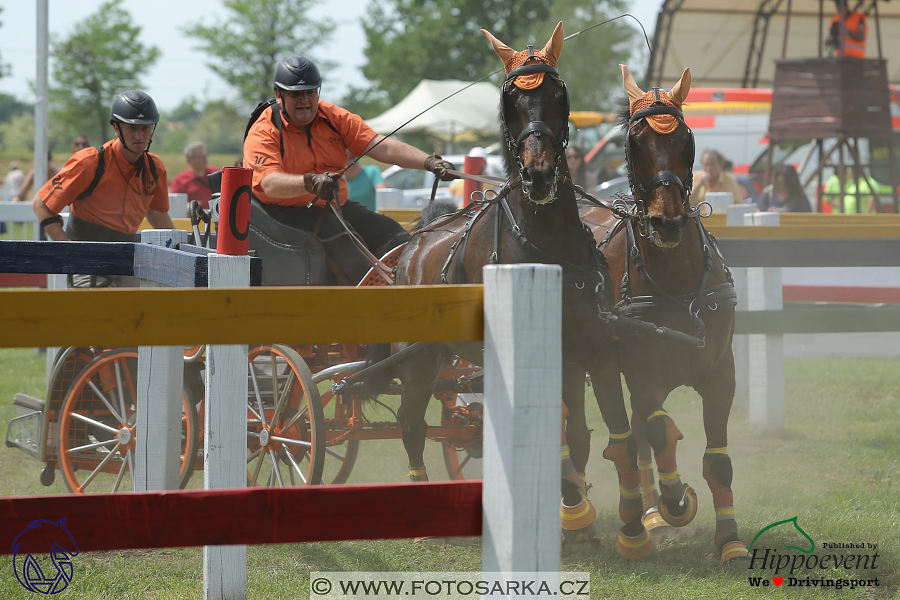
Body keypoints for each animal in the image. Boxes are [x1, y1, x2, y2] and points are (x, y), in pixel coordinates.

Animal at [370, 23, 624, 548]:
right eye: (510, 99)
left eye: (558, 94)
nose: (540, 174)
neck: (547, 244)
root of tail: (412, 246)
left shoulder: (584, 348)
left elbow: (579, 434)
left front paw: (576, 512)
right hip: (419, 358)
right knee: (410, 422)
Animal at [580, 64, 748, 564]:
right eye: (634, 143)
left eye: (687, 140)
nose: (667, 222)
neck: (675, 280)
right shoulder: (642, 373)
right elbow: (657, 433)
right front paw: (676, 502)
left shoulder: (721, 372)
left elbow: (719, 461)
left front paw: (729, 540)